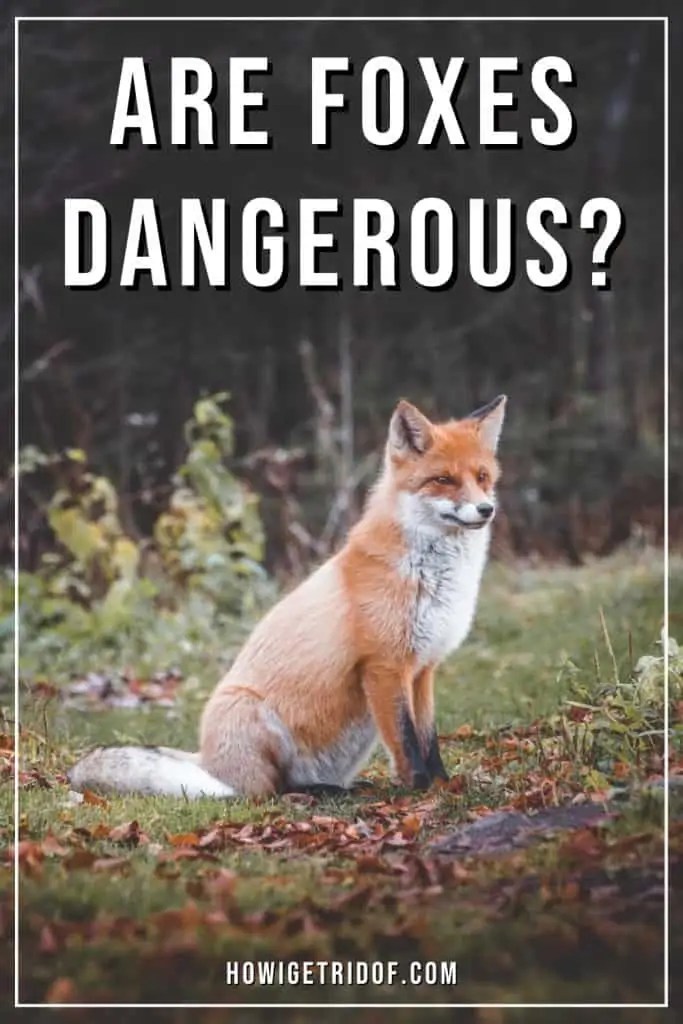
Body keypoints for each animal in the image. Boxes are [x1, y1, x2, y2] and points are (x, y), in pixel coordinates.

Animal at [68, 394, 506, 800]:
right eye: (444, 480)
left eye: (482, 476)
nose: (486, 509)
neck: (434, 578)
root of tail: (209, 765)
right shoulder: (384, 666)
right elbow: (407, 744)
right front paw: (421, 792)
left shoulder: (423, 668)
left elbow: (429, 740)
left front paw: (445, 786)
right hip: (252, 716)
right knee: (267, 791)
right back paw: (318, 793)